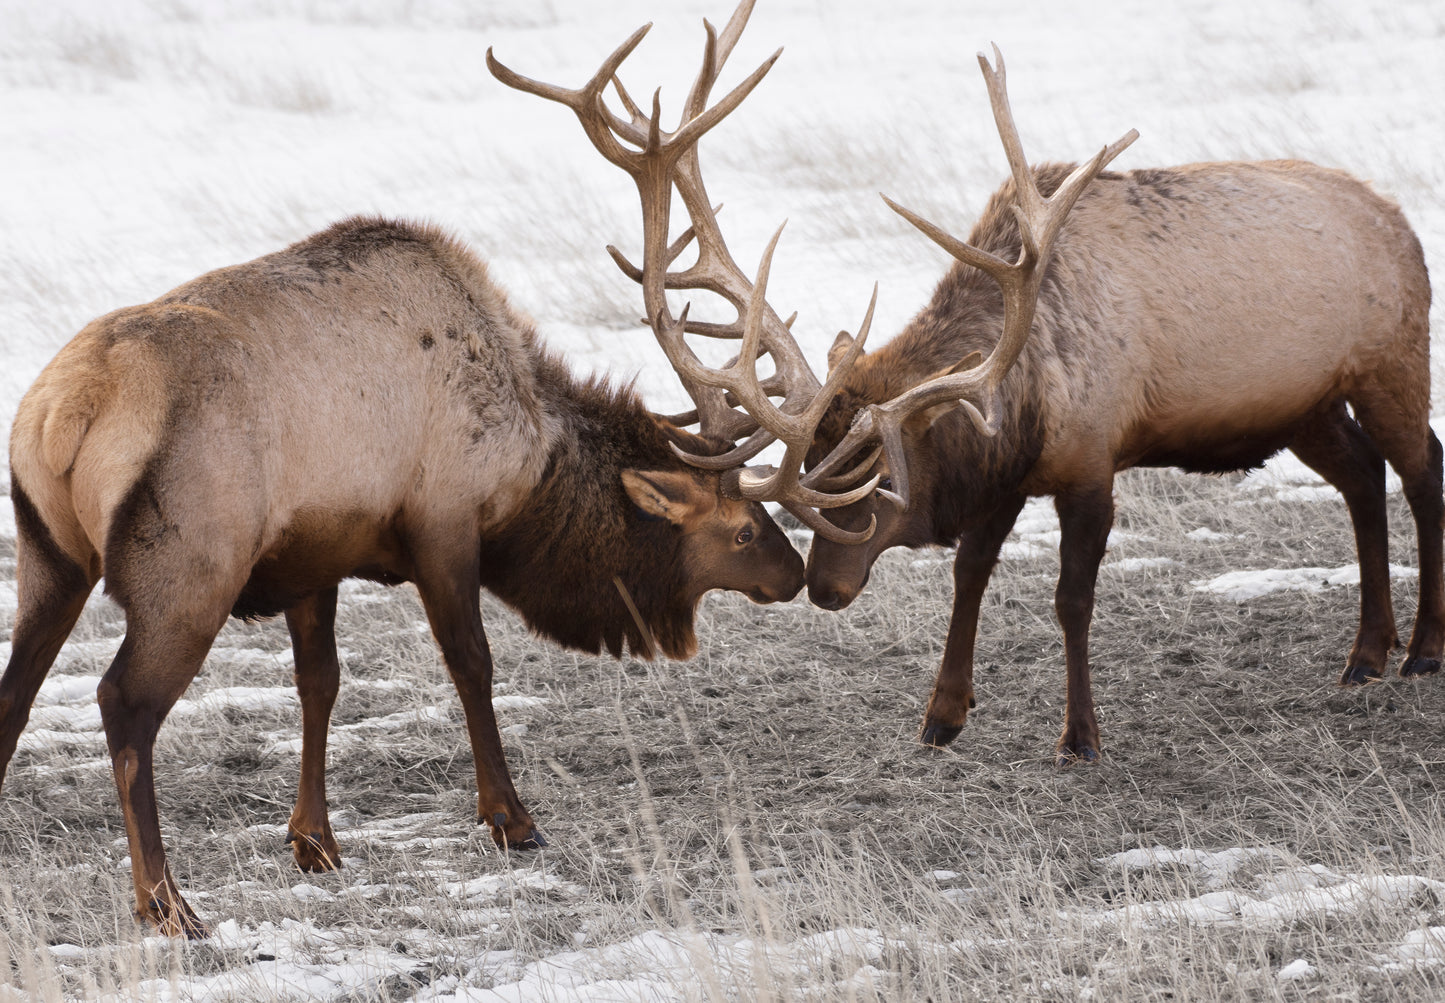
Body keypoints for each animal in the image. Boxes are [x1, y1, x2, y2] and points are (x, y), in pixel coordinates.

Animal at [0, 205, 812, 934]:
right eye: (744, 531)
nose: (797, 572)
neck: (529, 460)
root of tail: (64, 412)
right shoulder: (443, 522)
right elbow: (471, 662)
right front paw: (511, 819)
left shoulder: (314, 556)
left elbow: (320, 683)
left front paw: (315, 841)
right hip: (188, 574)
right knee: (123, 703)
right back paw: (167, 904)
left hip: (49, 559)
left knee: (15, 694)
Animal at [492, 0, 1440, 770]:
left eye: (872, 492)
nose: (823, 589)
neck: (1018, 401)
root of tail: (1399, 222)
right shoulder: (1005, 480)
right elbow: (970, 575)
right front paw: (941, 714)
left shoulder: (1090, 461)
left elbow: (1069, 600)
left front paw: (1079, 735)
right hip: (1307, 404)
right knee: (1361, 475)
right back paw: (1365, 651)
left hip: (1393, 359)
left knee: (1420, 467)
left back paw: (1420, 648)